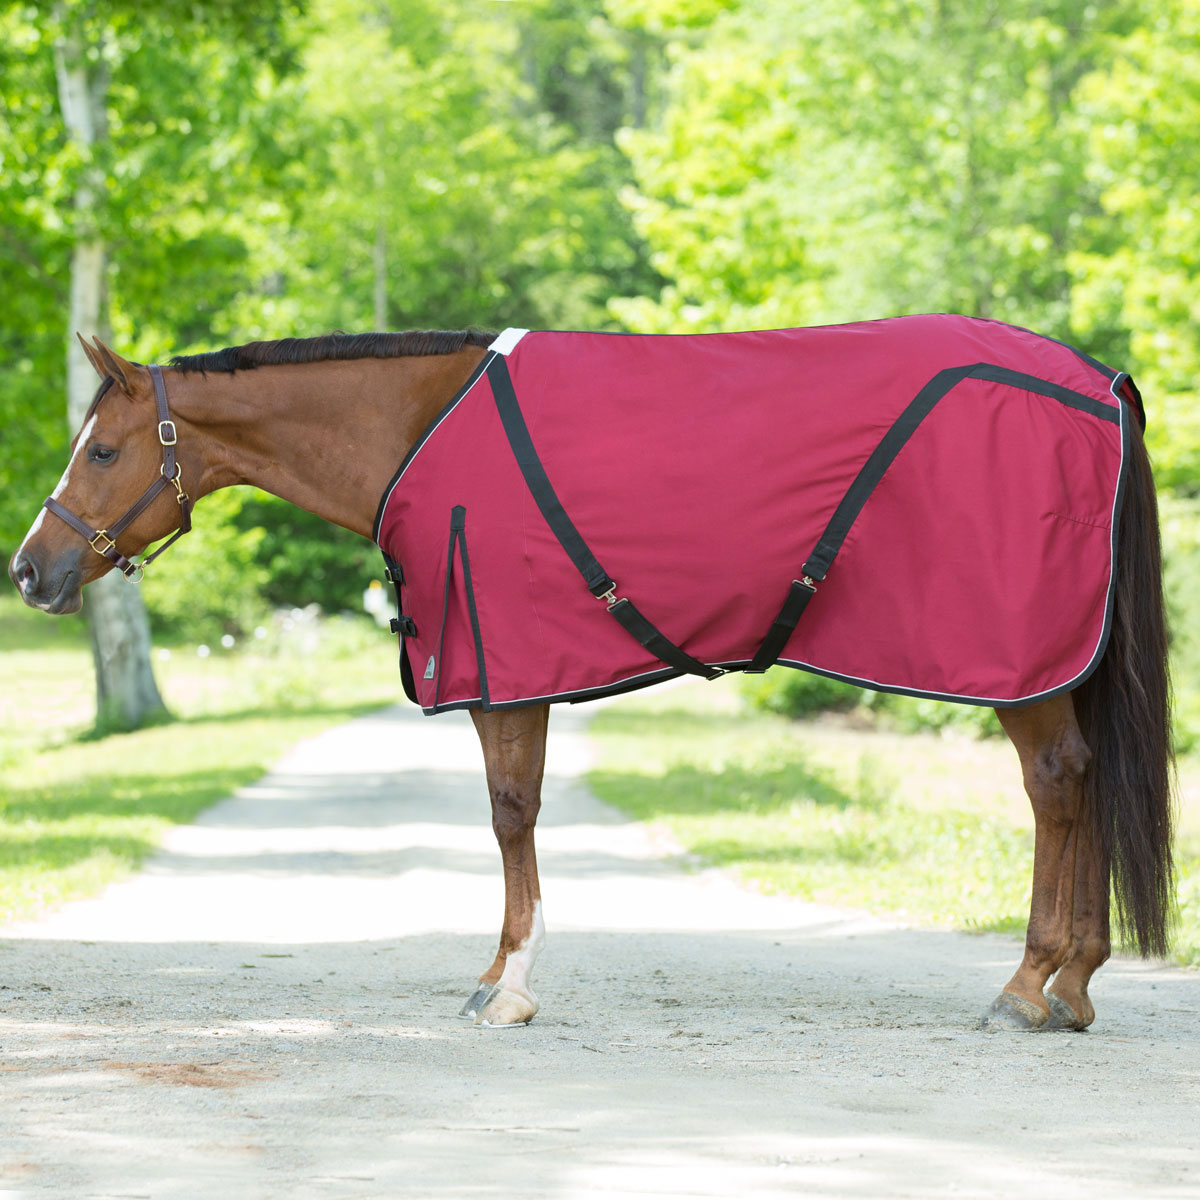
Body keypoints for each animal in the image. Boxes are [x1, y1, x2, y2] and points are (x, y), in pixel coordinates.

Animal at [9, 322, 1174, 1031]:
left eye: (101, 451)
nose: (30, 570)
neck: (417, 429)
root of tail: (1100, 385)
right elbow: (509, 821)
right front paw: (495, 978)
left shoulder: (504, 673)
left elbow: (510, 816)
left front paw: (508, 986)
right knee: (1079, 783)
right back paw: (1073, 985)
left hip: (1020, 668)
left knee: (1057, 787)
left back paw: (1027, 987)